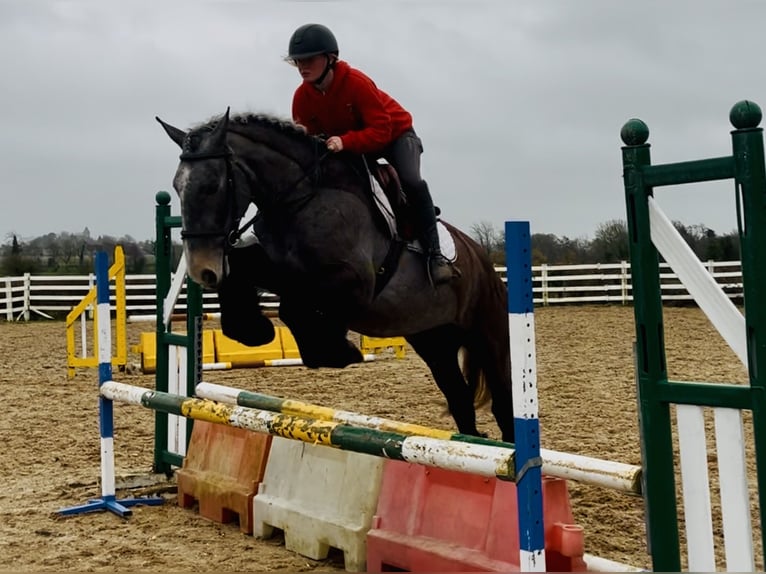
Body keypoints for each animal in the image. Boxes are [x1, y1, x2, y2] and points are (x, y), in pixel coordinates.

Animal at [156, 109, 515, 443]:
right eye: (176, 187)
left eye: (212, 186)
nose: (202, 269)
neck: (300, 199)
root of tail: (481, 258)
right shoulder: (277, 266)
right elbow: (248, 269)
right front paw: (251, 329)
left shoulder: (353, 283)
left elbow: (293, 305)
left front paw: (335, 350)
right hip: (433, 340)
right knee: (460, 399)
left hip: (486, 335)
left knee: (502, 401)